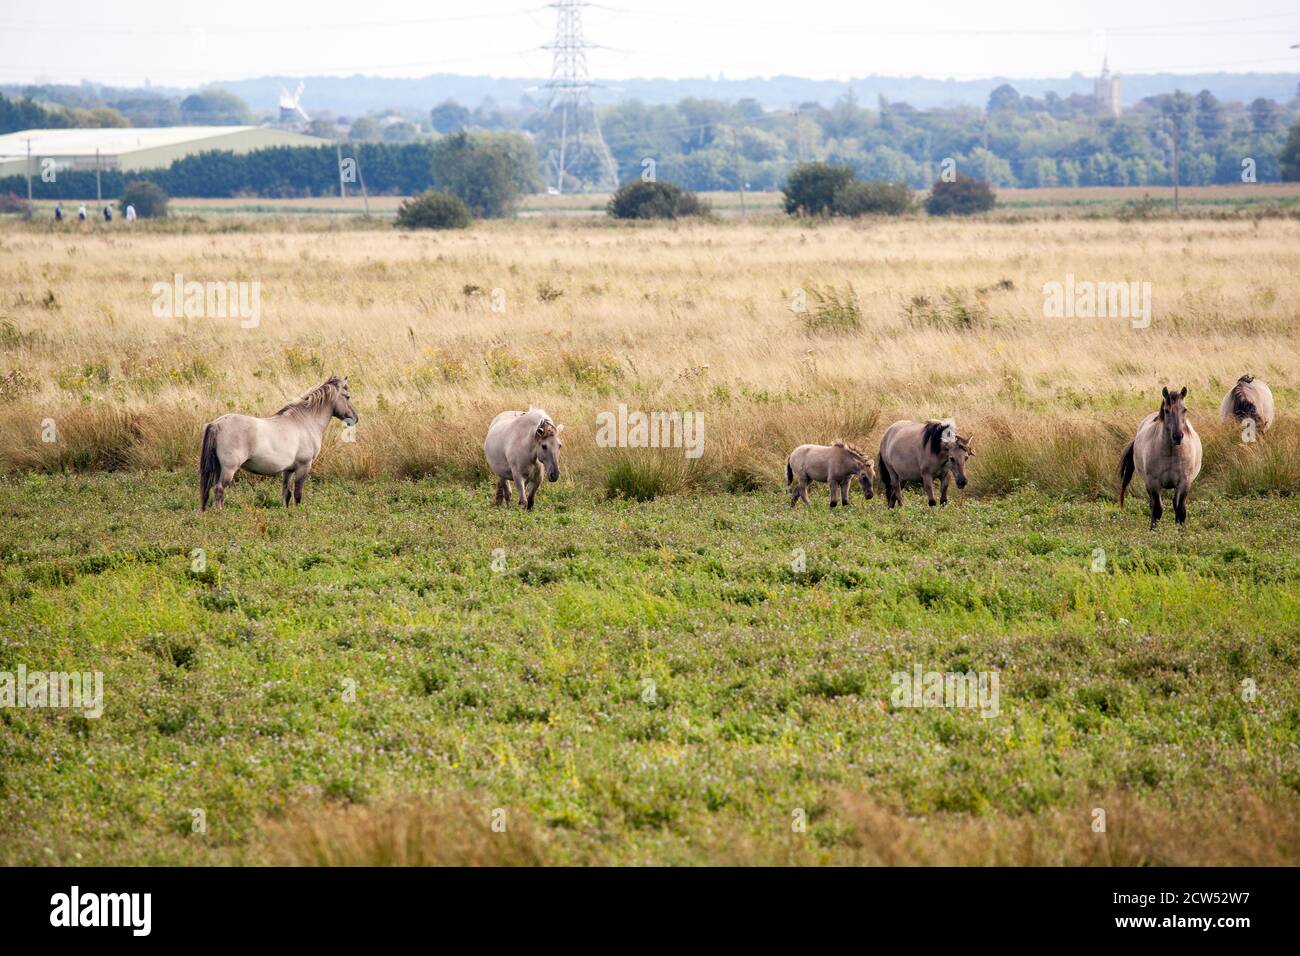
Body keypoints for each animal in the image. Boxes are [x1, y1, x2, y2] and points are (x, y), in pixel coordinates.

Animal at [196, 374, 356, 512]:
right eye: (347, 396)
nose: (355, 419)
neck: (304, 422)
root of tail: (216, 424)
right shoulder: (304, 466)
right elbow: (298, 494)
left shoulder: (288, 470)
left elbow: (286, 493)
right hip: (229, 469)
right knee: (219, 489)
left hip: (218, 468)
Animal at [1118, 382, 1206, 530]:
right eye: (1166, 410)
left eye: (1184, 410)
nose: (1177, 436)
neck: (1171, 453)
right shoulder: (1153, 482)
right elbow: (1158, 509)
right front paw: (1154, 531)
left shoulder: (1184, 482)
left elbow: (1180, 510)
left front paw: (1180, 532)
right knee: (1153, 504)